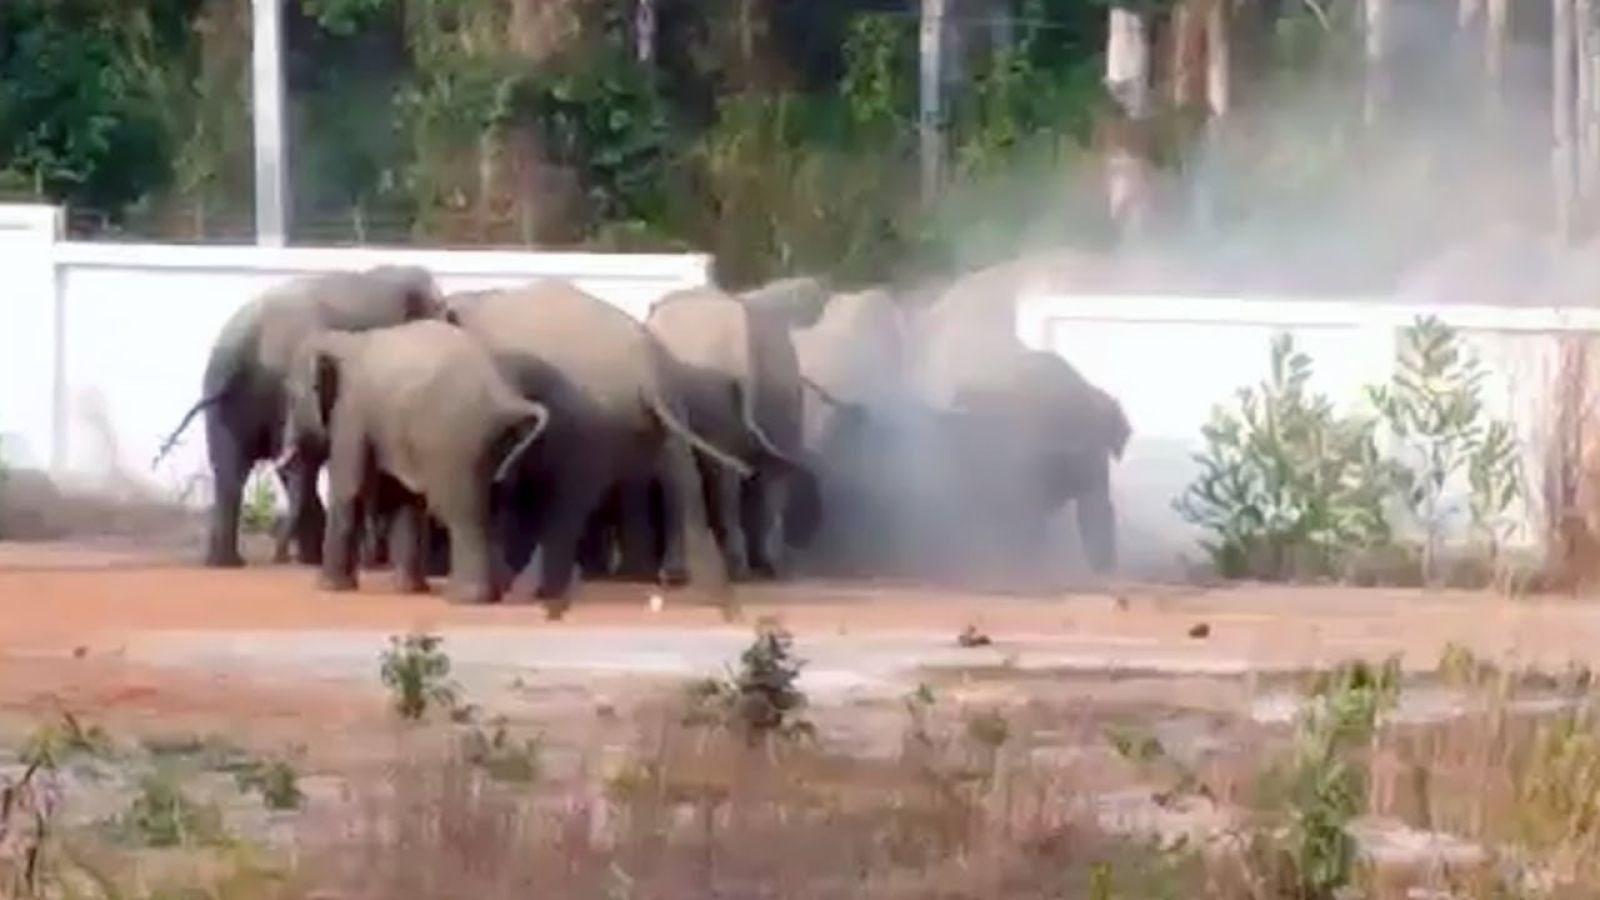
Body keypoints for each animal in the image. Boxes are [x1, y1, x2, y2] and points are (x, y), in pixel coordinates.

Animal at [153, 265, 446, 569]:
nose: (279, 556)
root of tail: (241, 346)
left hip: (230, 396)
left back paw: (232, 562)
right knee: (288, 466)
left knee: (239, 470)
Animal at [278, 320, 551, 604]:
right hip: (493, 442)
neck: (345, 341)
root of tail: (506, 398)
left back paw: (465, 598)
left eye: (292, 398)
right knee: (489, 505)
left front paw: (328, 588)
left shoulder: (351, 412)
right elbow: (404, 498)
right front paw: (408, 590)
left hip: (457, 439)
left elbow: (348, 489)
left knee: (461, 511)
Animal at [445, 280, 752, 618]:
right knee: (681, 475)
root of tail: (646, 368)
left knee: (578, 496)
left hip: (600, 417)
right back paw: (702, 589)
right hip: (656, 412)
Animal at [638, 276, 828, 579]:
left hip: (720, 394)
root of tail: (744, 345)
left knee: (722, 473)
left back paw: (735, 568)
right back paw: (769, 566)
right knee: (775, 474)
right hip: (782, 390)